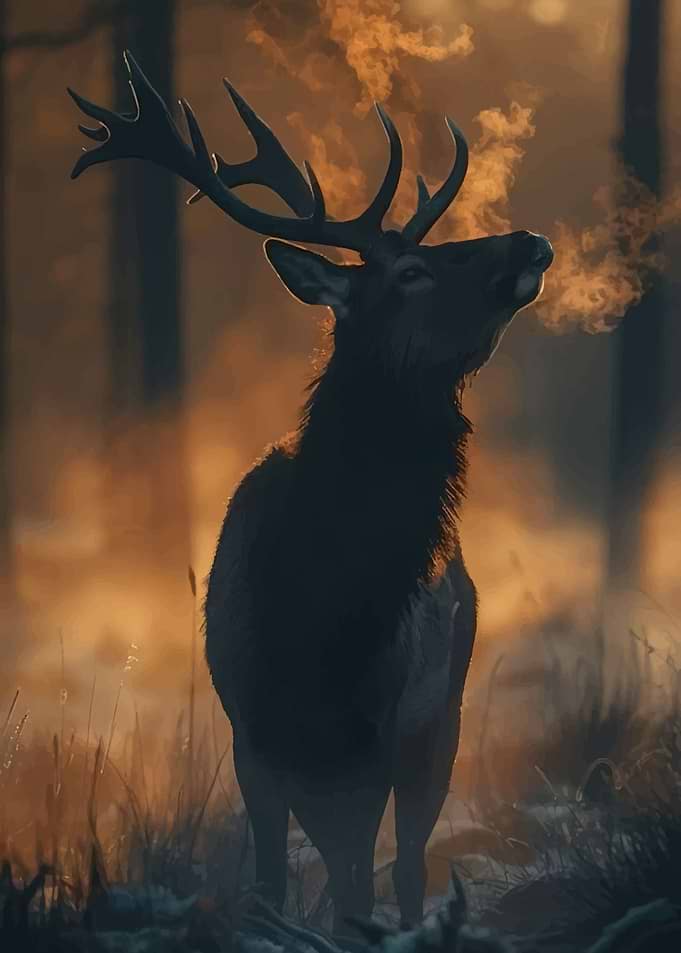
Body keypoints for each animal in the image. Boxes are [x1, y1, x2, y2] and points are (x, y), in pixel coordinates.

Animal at [68, 52, 553, 934]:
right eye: (412, 270)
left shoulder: (377, 730)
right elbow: (270, 878)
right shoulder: (252, 733)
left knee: (405, 865)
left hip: (444, 714)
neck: (317, 610)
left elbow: (361, 880)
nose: (529, 239)